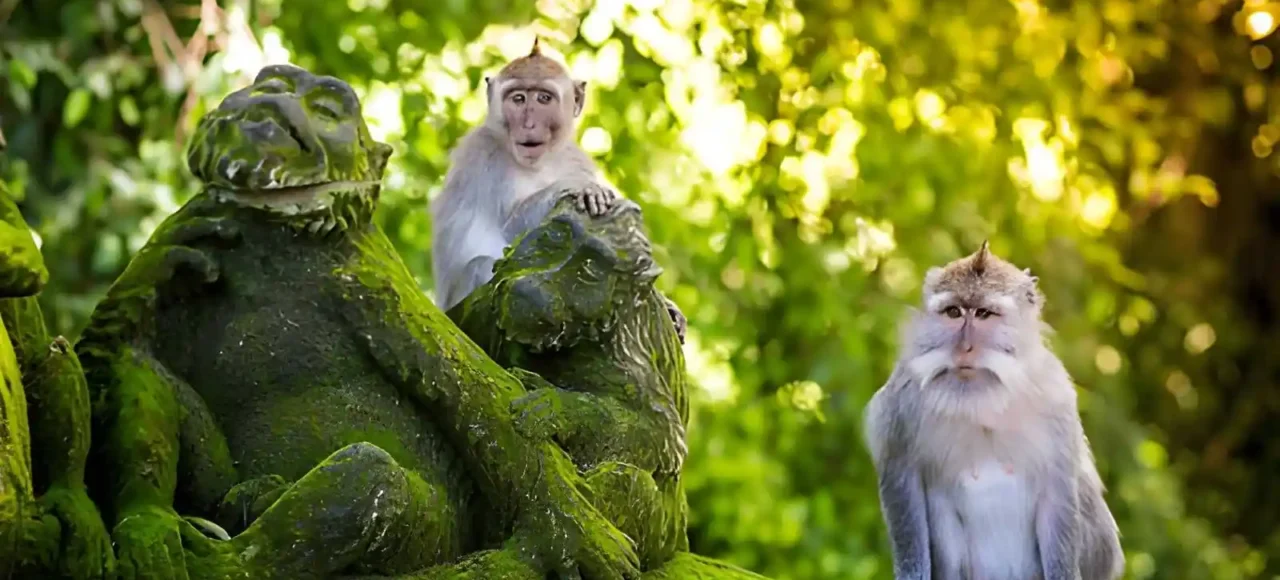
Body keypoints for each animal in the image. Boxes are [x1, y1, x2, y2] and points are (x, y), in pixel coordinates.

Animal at [431, 38, 687, 341]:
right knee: (480, 264)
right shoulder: (483, 155)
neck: (539, 162)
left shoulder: (575, 158)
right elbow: (512, 230)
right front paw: (579, 188)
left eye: (543, 98)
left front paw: (668, 305)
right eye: (518, 98)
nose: (528, 123)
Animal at [862, 241, 1124, 580]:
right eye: (954, 312)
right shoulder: (900, 406)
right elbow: (902, 486)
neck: (981, 398)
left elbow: (1059, 497)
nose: (964, 348)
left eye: (984, 313)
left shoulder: (1058, 402)